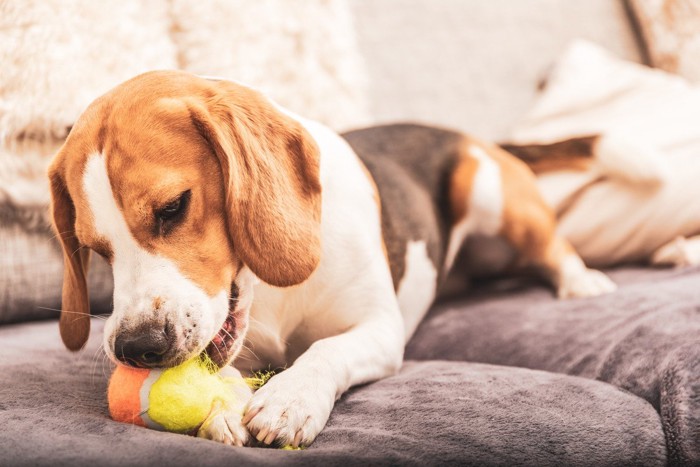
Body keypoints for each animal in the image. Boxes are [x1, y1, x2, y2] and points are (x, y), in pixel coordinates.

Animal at [49, 71, 616, 448]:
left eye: (173, 207)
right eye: (96, 249)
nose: (136, 348)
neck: (269, 294)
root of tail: (470, 134)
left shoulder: (380, 330)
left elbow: (326, 349)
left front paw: (290, 399)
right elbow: (225, 371)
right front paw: (224, 406)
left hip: (490, 193)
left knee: (553, 245)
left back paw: (582, 282)